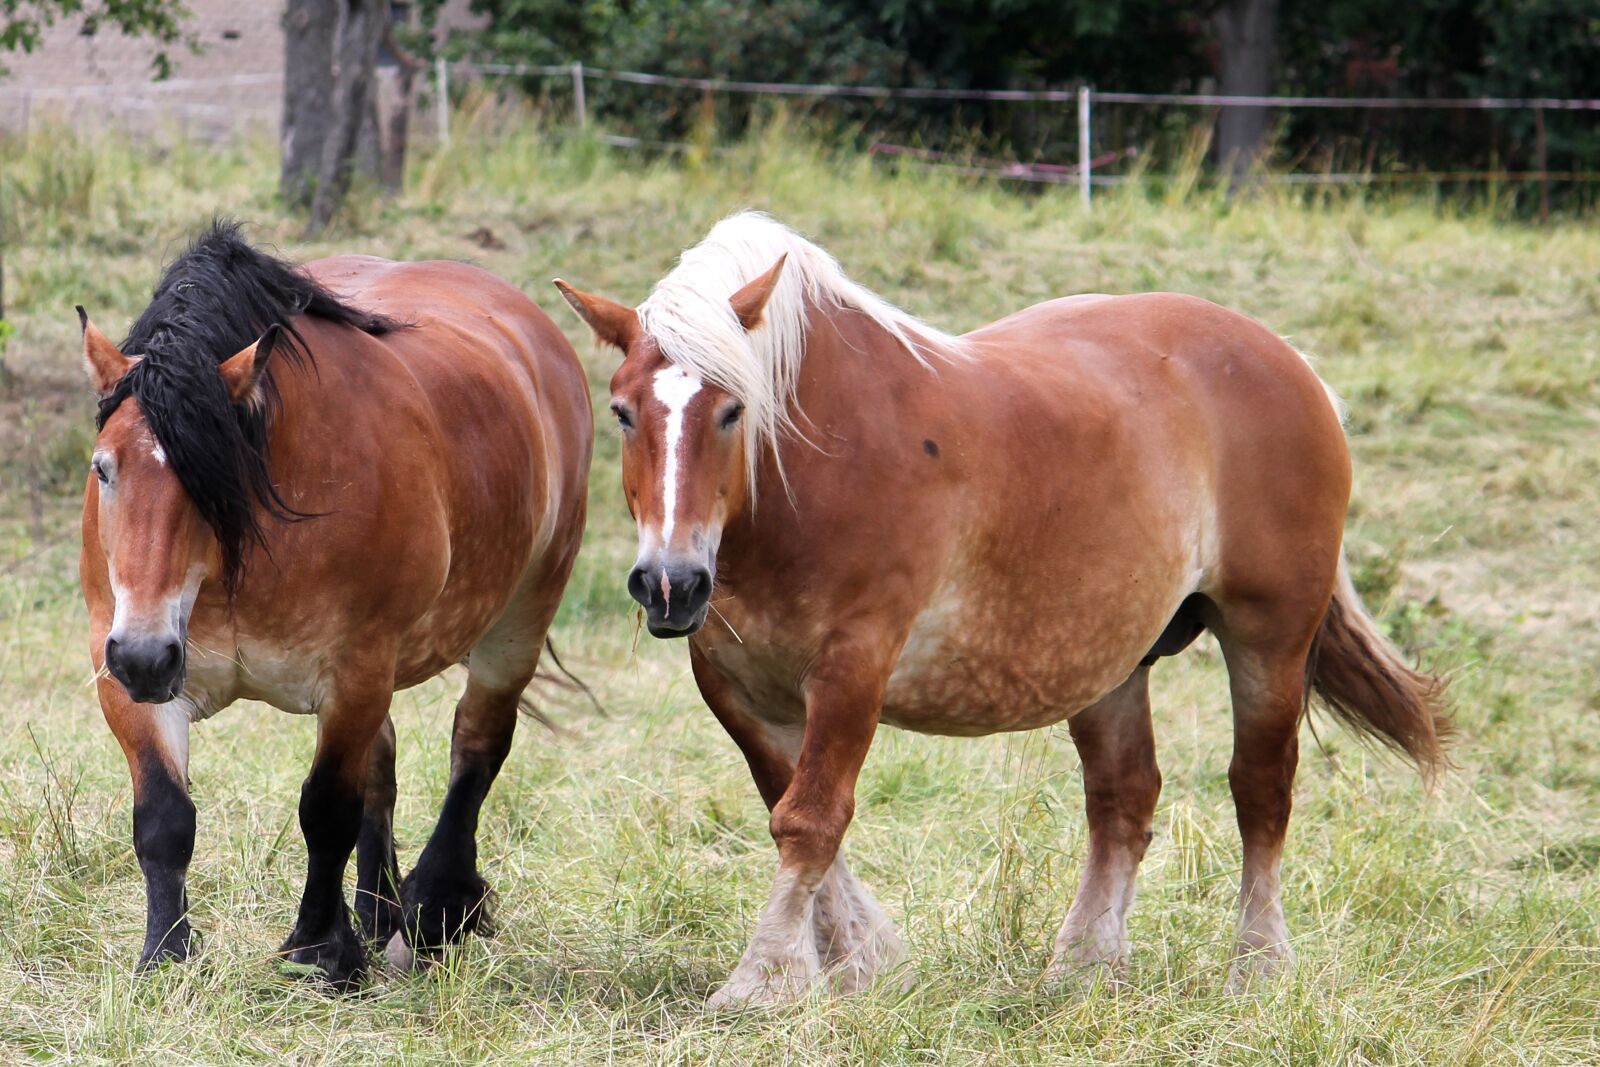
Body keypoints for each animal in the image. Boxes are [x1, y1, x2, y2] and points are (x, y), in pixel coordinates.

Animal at [78, 222, 592, 988]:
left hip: (519, 618)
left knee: (476, 747)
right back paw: (379, 912)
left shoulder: (354, 670)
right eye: (103, 468)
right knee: (384, 763)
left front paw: (320, 949)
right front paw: (165, 955)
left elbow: (325, 812)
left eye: (217, 478)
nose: (144, 655)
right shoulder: (124, 670)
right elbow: (165, 818)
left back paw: (433, 909)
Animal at [554, 211, 1451, 1006]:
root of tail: (1291, 362)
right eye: (623, 411)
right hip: (1109, 659)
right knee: (1123, 800)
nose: (670, 583)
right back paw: (1084, 966)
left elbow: (810, 818)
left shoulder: (853, 668)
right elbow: (793, 812)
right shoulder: (737, 686)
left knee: (1260, 789)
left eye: (732, 409)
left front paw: (763, 979)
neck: (808, 472)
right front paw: (856, 960)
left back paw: (1257, 966)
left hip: (1270, 636)